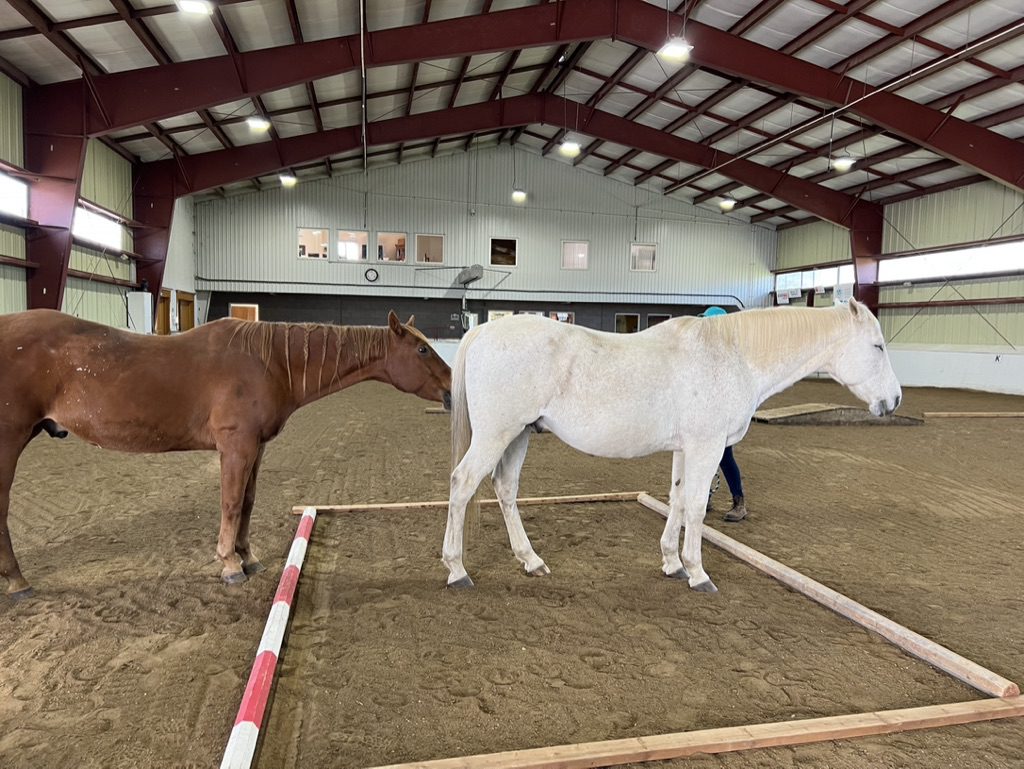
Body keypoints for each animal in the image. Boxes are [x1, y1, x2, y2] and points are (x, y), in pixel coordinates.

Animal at [0, 309, 450, 597]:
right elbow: (231, 503)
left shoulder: (256, 447)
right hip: (9, 440)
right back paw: (18, 582)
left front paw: (247, 557)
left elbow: (247, 502)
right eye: (422, 351)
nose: (451, 390)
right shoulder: (236, 445)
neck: (269, 362)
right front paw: (230, 565)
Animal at [440, 301, 897, 593]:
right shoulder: (707, 446)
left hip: (518, 434)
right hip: (497, 434)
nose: (893, 401)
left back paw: (531, 561)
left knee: (505, 490)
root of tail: (483, 330)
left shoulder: (686, 448)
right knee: (462, 484)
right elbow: (695, 506)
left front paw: (672, 563)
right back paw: (457, 570)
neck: (731, 355)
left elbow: (677, 499)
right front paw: (698, 573)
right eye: (877, 346)